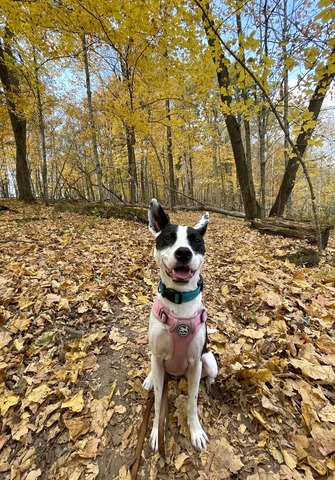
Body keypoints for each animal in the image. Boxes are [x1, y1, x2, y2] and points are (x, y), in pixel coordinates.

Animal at [144, 198, 218, 450]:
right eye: (168, 237)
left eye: (196, 241)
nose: (184, 252)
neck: (179, 298)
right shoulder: (158, 357)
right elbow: (158, 401)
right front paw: (157, 432)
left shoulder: (195, 363)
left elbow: (192, 403)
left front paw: (195, 431)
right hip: (156, 361)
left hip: (209, 360)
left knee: (210, 374)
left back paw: (209, 385)